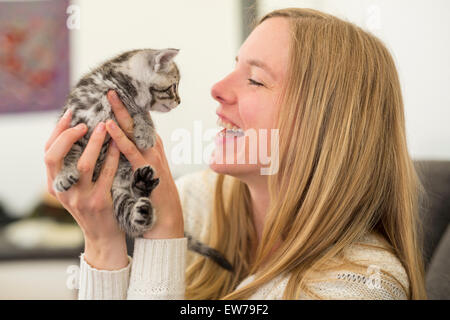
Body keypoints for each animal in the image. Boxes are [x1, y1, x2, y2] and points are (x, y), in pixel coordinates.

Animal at [54, 48, 234, 272]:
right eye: (173, 87)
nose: (179, 101)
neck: (115, 86)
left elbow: (143, 112)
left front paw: (146, 132)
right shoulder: (72, 122)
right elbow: (69, 151)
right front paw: (64, 174)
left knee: (131, 219)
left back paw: (143, 200)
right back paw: (142, 202)